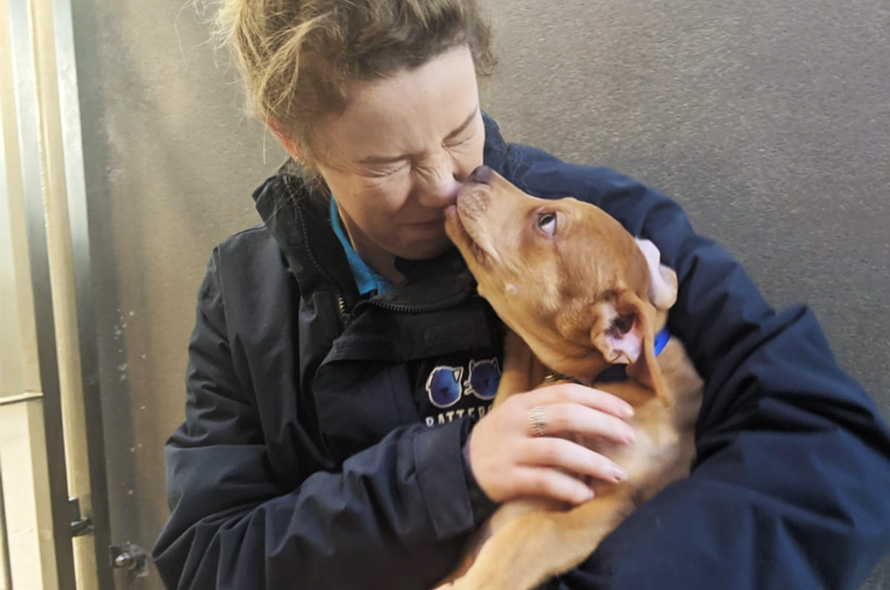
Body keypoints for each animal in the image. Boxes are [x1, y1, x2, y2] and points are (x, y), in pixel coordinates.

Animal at [438, 165, 700, 590]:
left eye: (547, 221)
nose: (479, 169)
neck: (605, 377)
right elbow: (515, 366)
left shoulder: (612, 504)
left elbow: (528, 533)